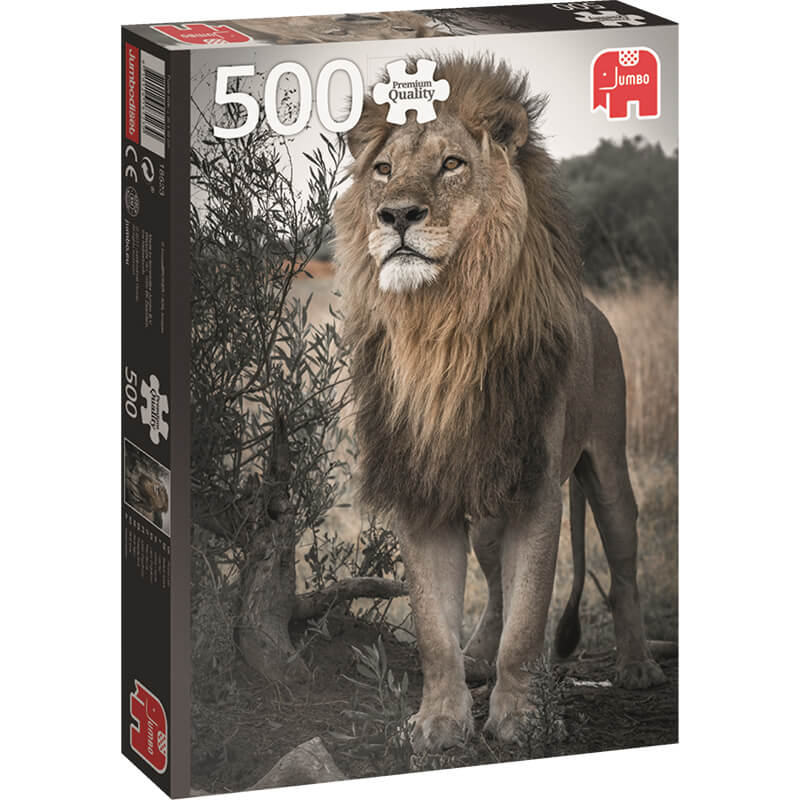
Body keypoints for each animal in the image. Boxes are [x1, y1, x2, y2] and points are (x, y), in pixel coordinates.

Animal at [333, 54, 666, 753]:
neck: (442, 327)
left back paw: (636, 665)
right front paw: (438, 722)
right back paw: (478, 657)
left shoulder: (536, 491)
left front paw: (520, 718)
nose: (396, 215)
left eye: (452, 164)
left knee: (622, 566)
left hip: (607, 468)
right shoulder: (424, 490)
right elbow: (436, 628)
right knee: (491, 585)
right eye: (384, 170)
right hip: (487, 505)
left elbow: (531, 612)